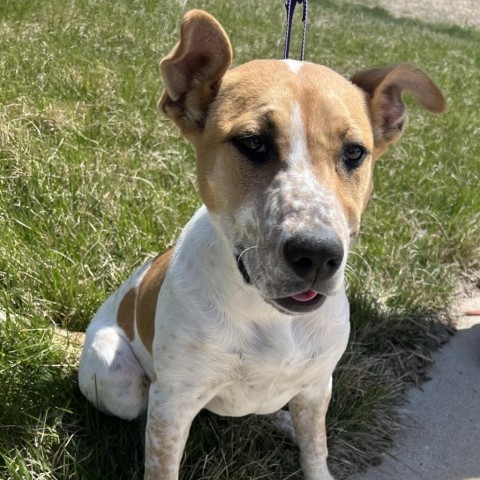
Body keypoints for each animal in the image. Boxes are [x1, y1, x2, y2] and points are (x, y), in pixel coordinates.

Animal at [77, 8, 444, 480]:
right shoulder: (172, 403)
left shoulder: (317, 384)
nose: (318, 255)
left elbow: (315, 449)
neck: (268, 316)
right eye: (252, 142)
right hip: (116, 381)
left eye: (354, 153)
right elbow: (162, 460)